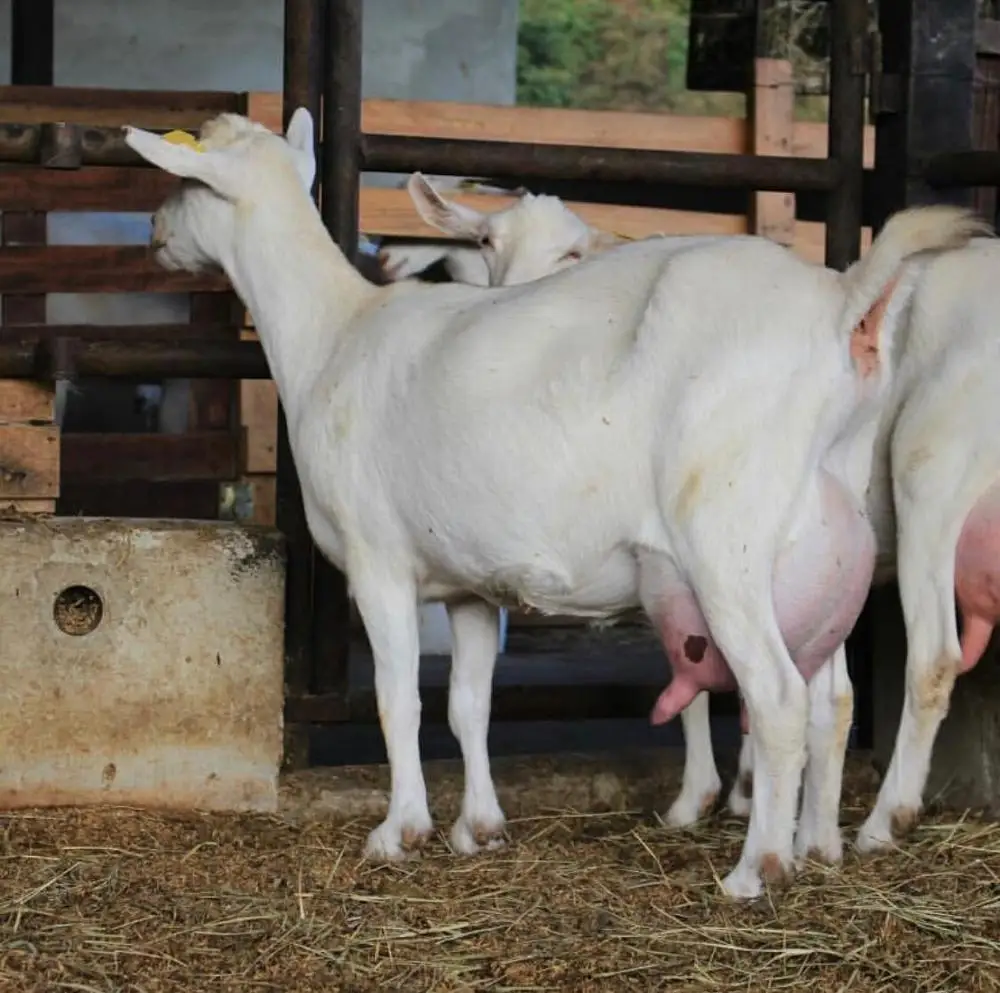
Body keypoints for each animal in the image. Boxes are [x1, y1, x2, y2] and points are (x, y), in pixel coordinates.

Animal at [124, 107, 983, 899]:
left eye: (188, 180)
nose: (154, 232)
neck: (333, 332)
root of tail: (843, 301)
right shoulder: (469, 585)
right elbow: (468, 705)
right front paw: (478, 827)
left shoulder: (378, 562)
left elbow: (398, 700)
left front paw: (399, 829)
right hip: (824, 537)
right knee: (830, 697)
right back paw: (819, 846)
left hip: (729, 533)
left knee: (777, 695)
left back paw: (758, 868)